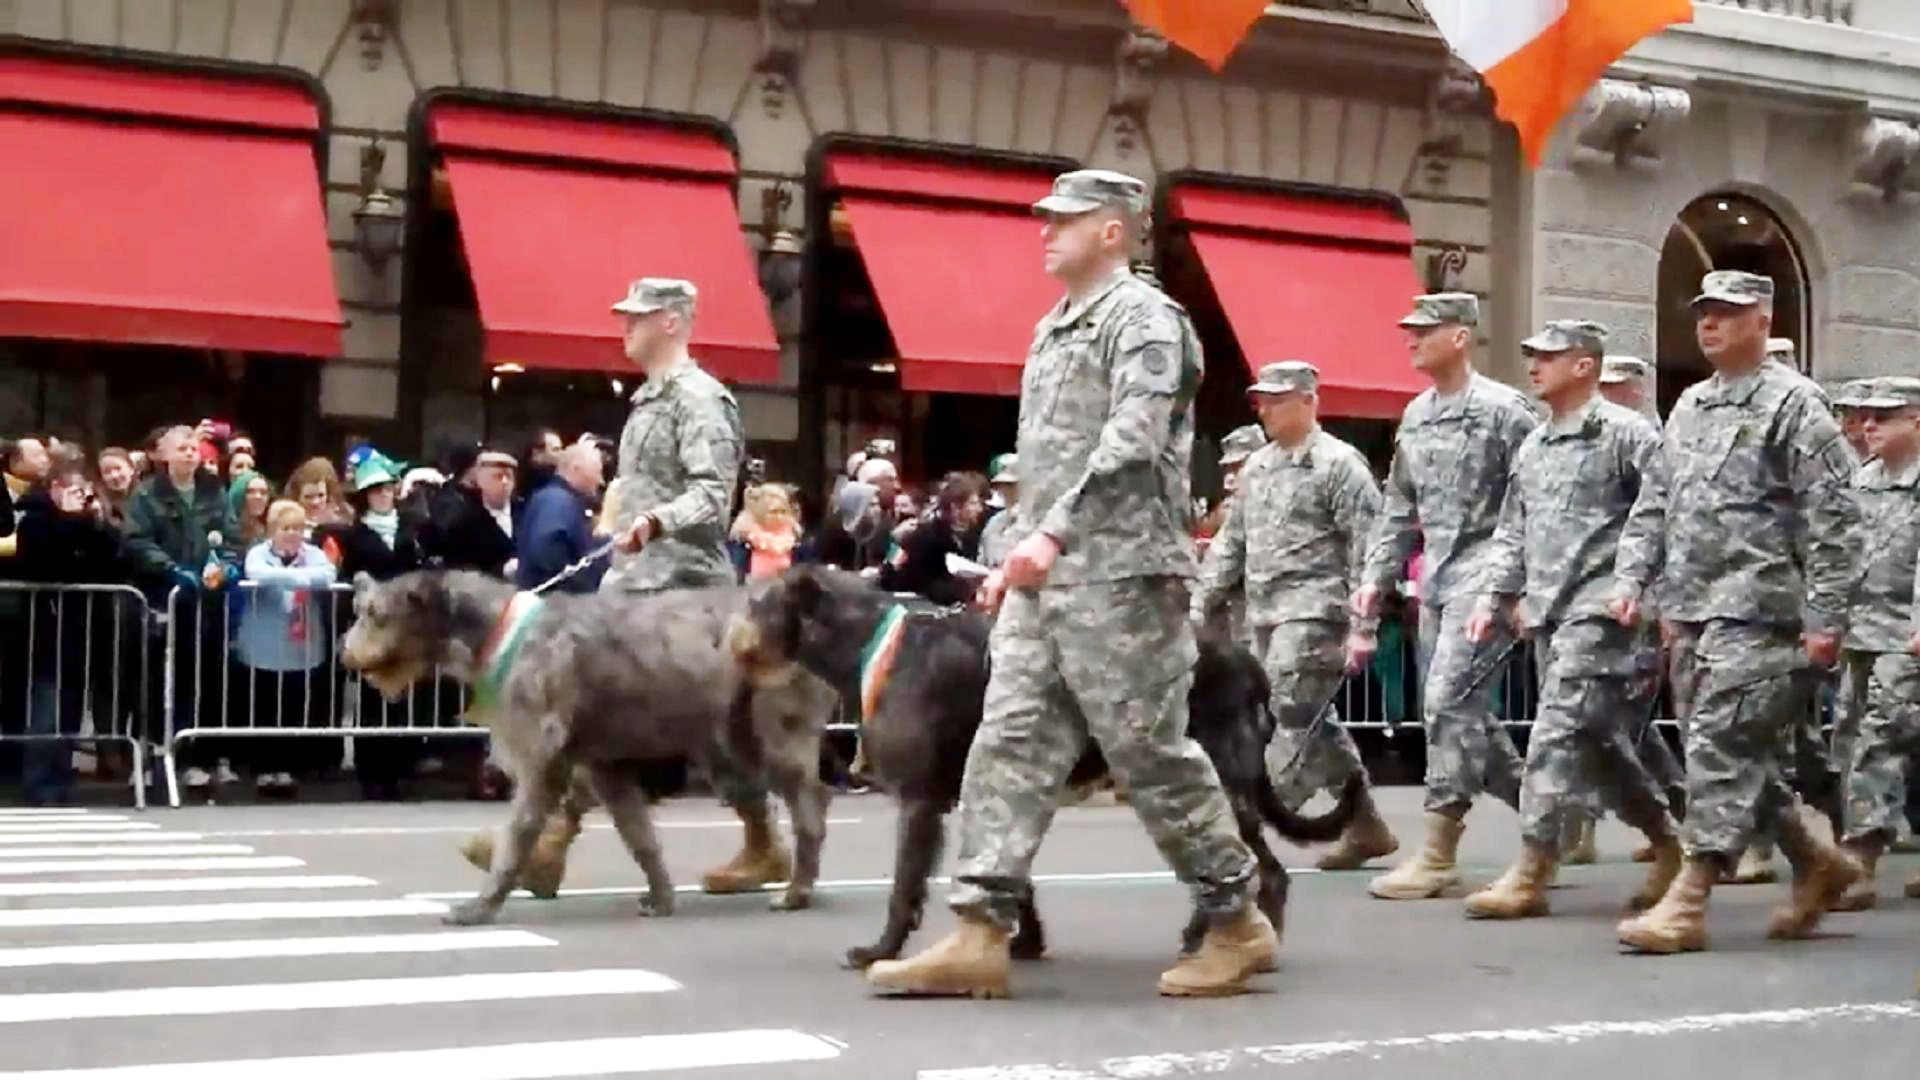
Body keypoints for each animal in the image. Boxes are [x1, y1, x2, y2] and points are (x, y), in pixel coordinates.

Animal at [341, 568, 837, 922]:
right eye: (361, 610)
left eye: (377, 615)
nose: (346, 656)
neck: (495, 629)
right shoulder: (604, 762)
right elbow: (637, 832)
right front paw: (661, 895)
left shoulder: (541, 752)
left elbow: (520, 830)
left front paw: (483, 903)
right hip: (731, 733)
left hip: (774, 727)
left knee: (809, 805)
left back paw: (798, 890)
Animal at [725, 564, 1359, 968]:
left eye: (758, 602)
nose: (728, 638)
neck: (873, 645)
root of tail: (1248, 661)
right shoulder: (998, 781)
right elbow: (1010, 868)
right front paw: (1022, 942)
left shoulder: (919, 800)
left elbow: (905, 885)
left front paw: (880, 952)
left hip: (1215, 779)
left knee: (1263, 870)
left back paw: (1249, 944)